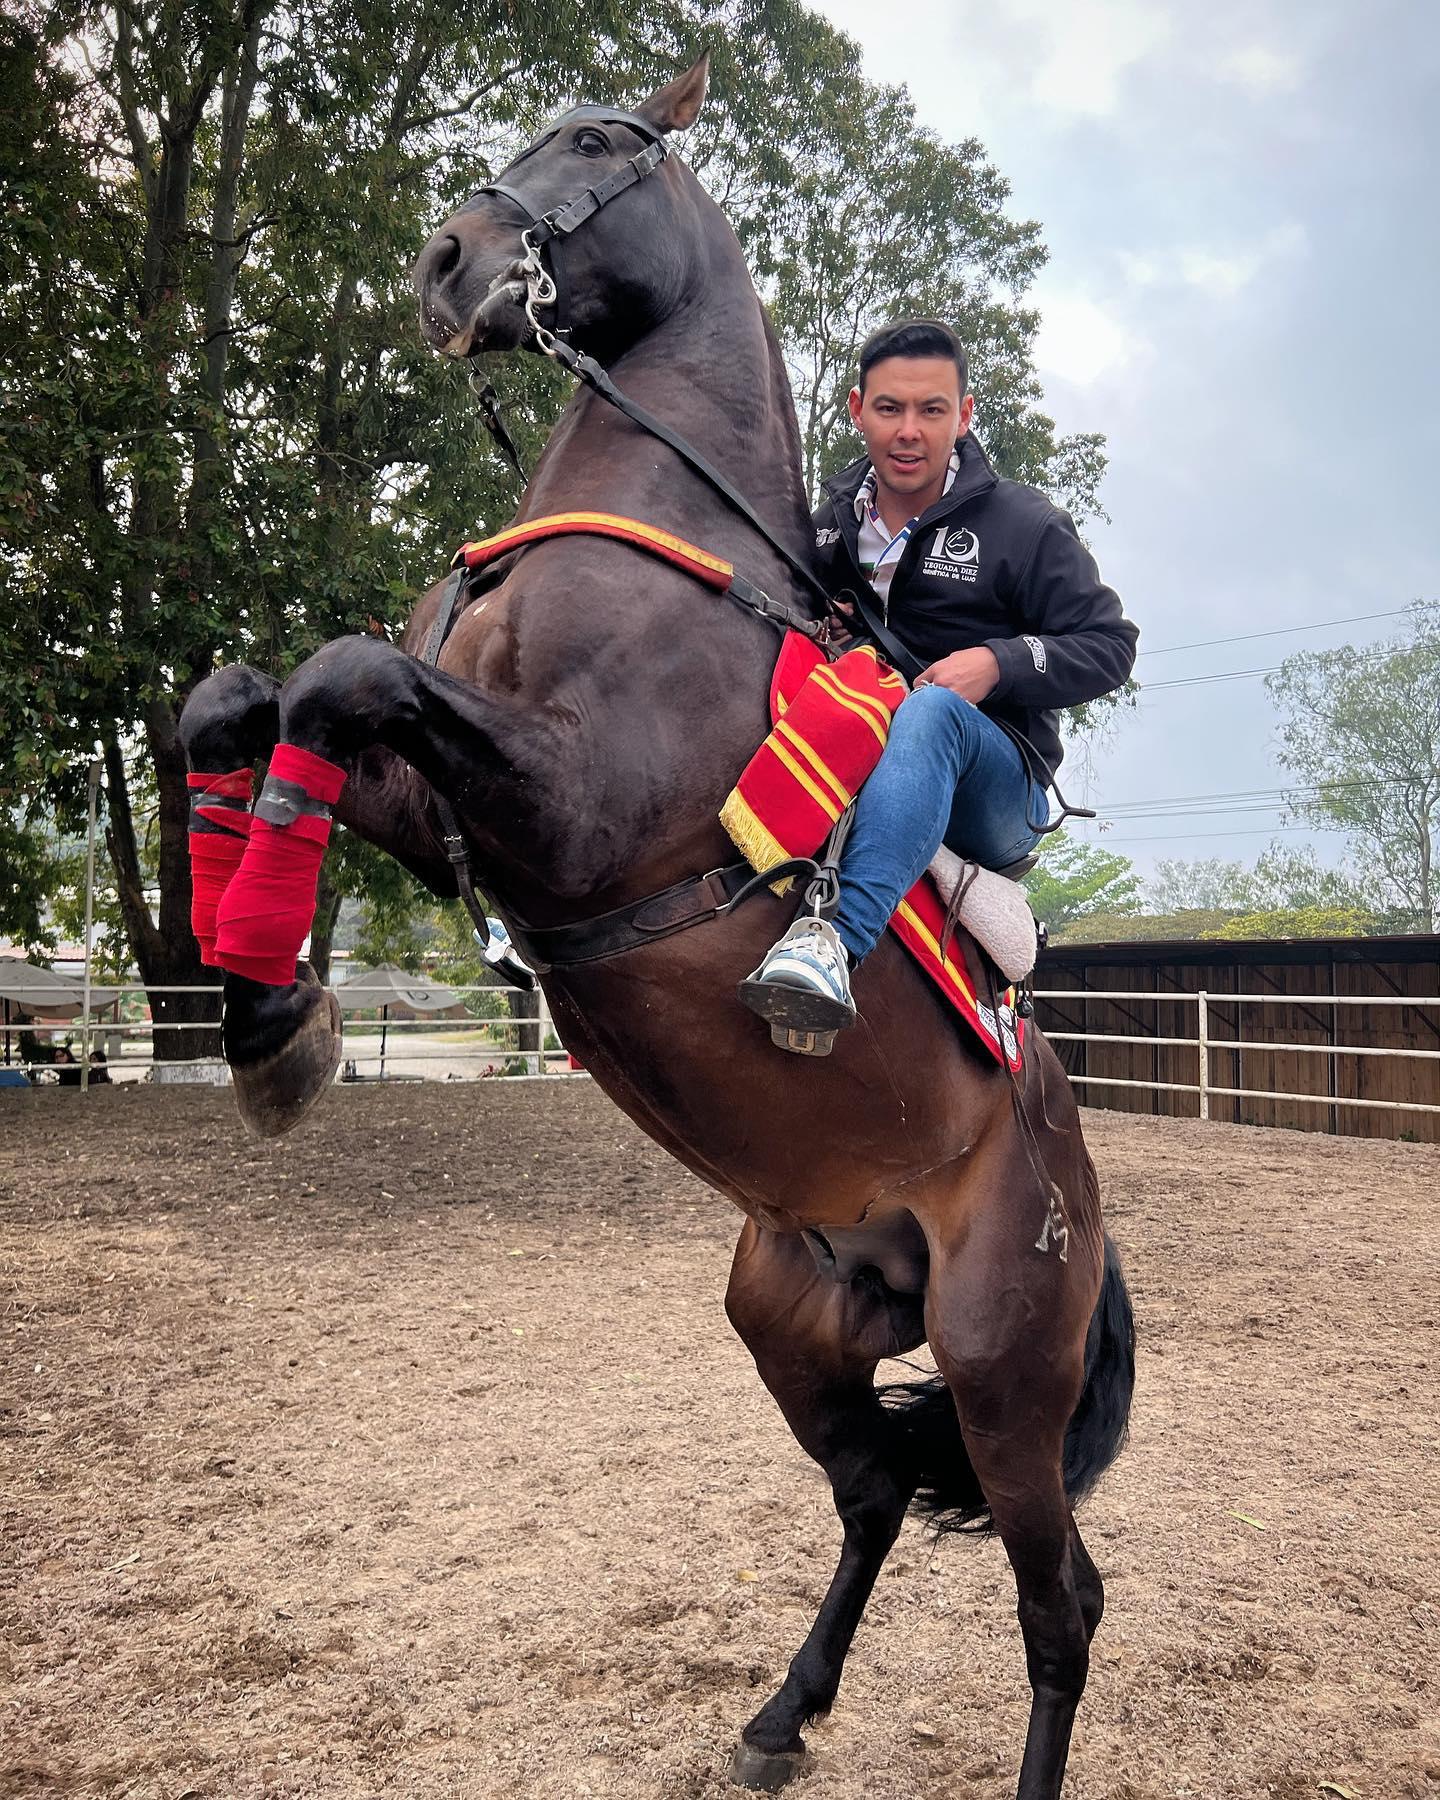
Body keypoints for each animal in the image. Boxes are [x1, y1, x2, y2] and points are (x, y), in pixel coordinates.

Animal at [174, 56, 1130, 1800]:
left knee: (1061, 1604)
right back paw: (779, 1715)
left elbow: (340, 672)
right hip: (795, 1326)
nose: (450, 263)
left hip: (999, 1369)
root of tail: (1079, 1206)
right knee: (874, 1496)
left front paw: (278, 1023)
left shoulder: (577, 815)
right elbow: (251, 698)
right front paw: (264, 1002)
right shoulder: (438, 798)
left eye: (599, 142)